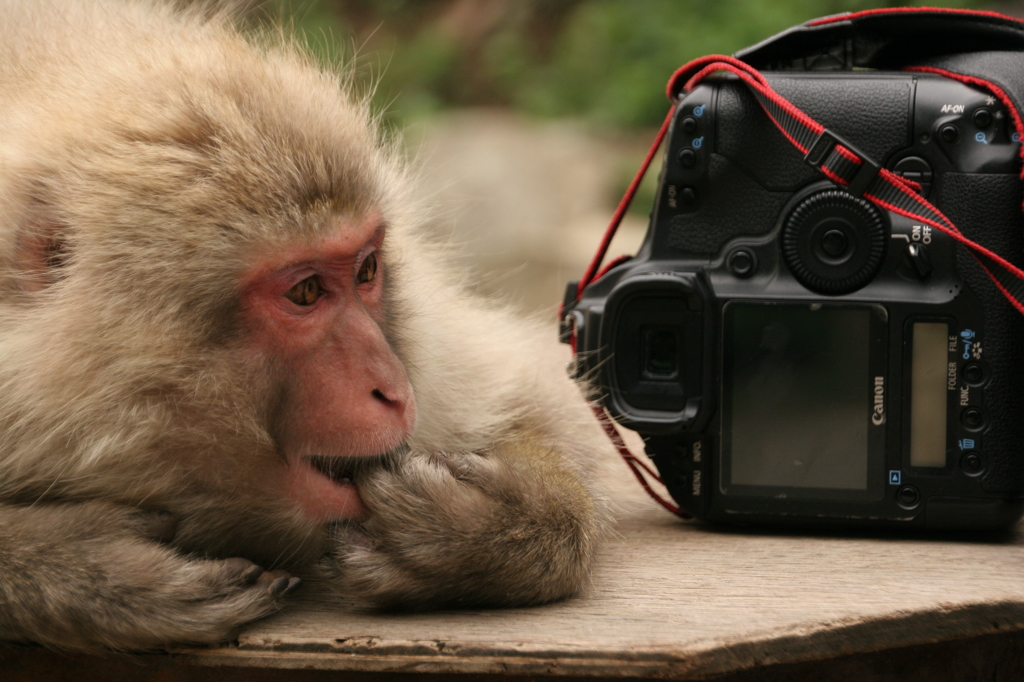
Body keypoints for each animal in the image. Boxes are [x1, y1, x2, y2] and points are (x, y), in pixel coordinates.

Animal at [0, 0, 610, 647]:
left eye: (367, 269)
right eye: (306, 292)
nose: (395, 390)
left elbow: (546, 399)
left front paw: (498, 526)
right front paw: (78, 565)